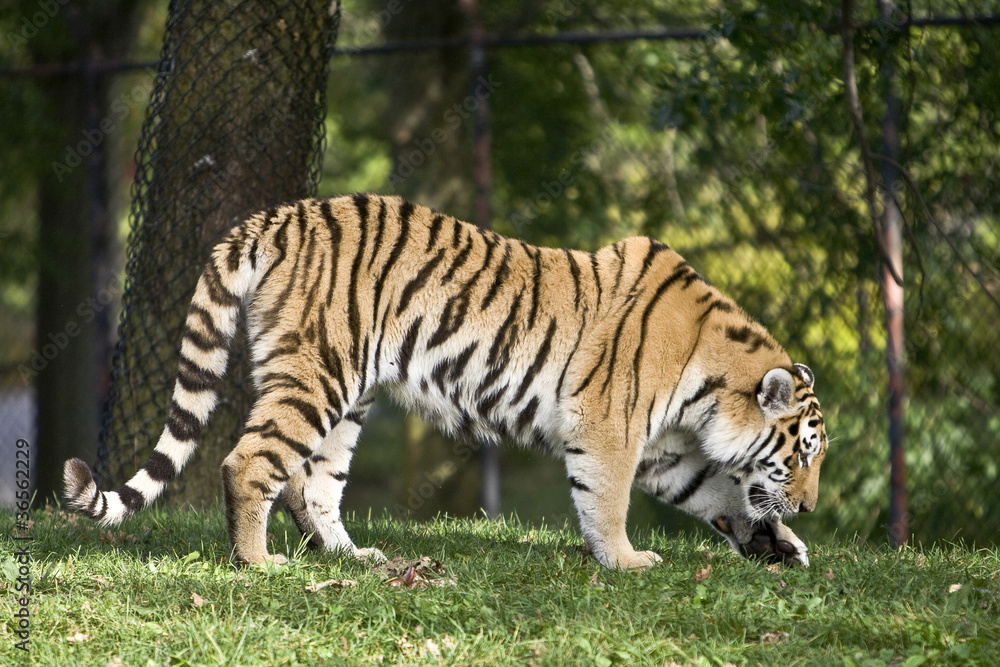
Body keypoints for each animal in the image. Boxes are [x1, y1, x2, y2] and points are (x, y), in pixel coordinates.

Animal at [64, 193, 827, 571]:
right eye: (803, 454)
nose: (812, 506)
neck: (708, 385)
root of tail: (273, 216)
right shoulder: (608, 430)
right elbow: (607, 505)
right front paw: (628, 560)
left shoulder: (666, 451)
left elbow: (714, 489)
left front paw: (778, 544)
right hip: (316, 374)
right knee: (250, 461)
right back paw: (258, 563)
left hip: (349, 396)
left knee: (313, 482)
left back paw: (352, 556)